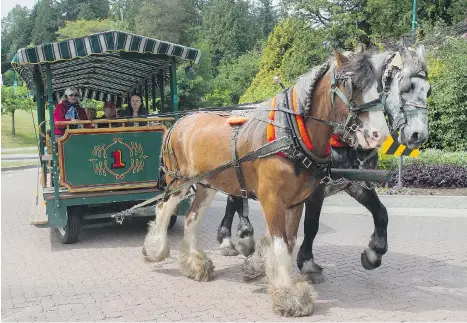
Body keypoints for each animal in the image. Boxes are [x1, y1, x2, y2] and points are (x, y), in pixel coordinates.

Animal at [143, 50, 392, 316]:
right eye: (352, 85)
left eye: (380, 88)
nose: (379, 135)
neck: (292, 135)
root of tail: (179, 122)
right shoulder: (272, 200)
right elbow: (280, 243)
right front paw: (287, 295)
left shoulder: (296, 202)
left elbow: (291, 241)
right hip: (179, 182)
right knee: (164, 208)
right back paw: (155, 250)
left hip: (206, 185)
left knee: (191, 218)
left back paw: (195, 264)